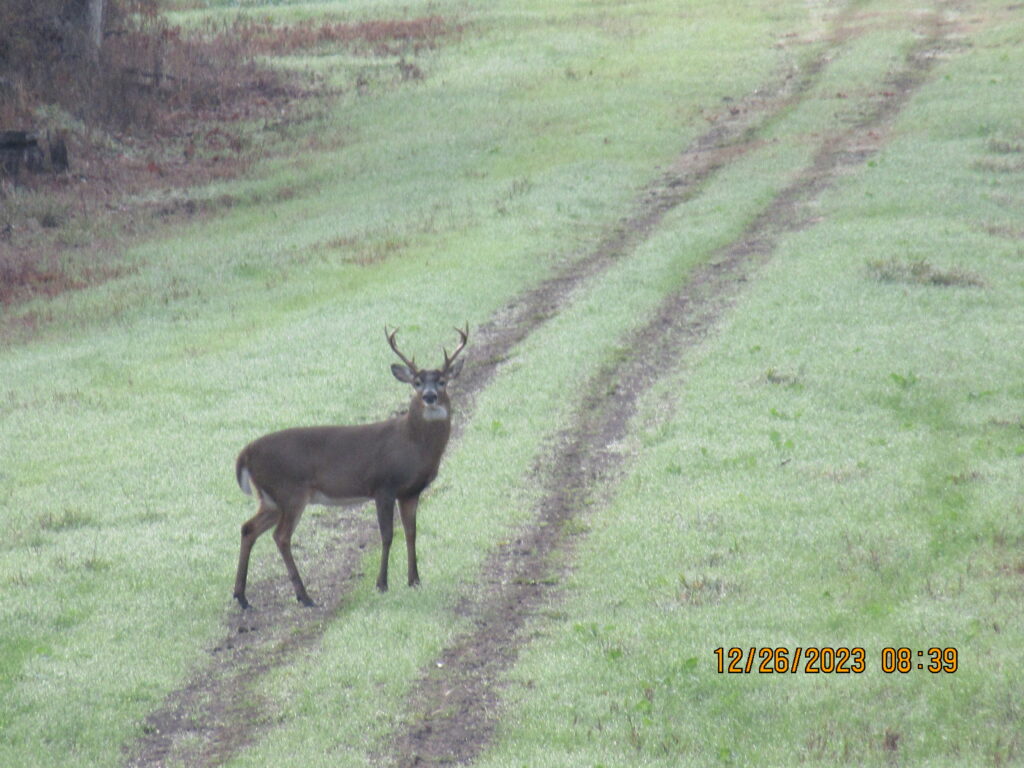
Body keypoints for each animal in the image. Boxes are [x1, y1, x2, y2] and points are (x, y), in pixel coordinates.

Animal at [232, 327, 468, 610]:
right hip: (290, 491)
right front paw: (382, 584)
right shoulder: (383, 485)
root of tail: (245, 454)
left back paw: (242, 596)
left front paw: (415, 580)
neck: (411, 444)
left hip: (271, 499)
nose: (429, 396)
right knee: (281, 536)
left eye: (442, 381)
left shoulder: (411, 492)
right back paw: (304, 596)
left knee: (248, 528)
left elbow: (411, 532)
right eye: (416, 382)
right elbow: (387, 535)